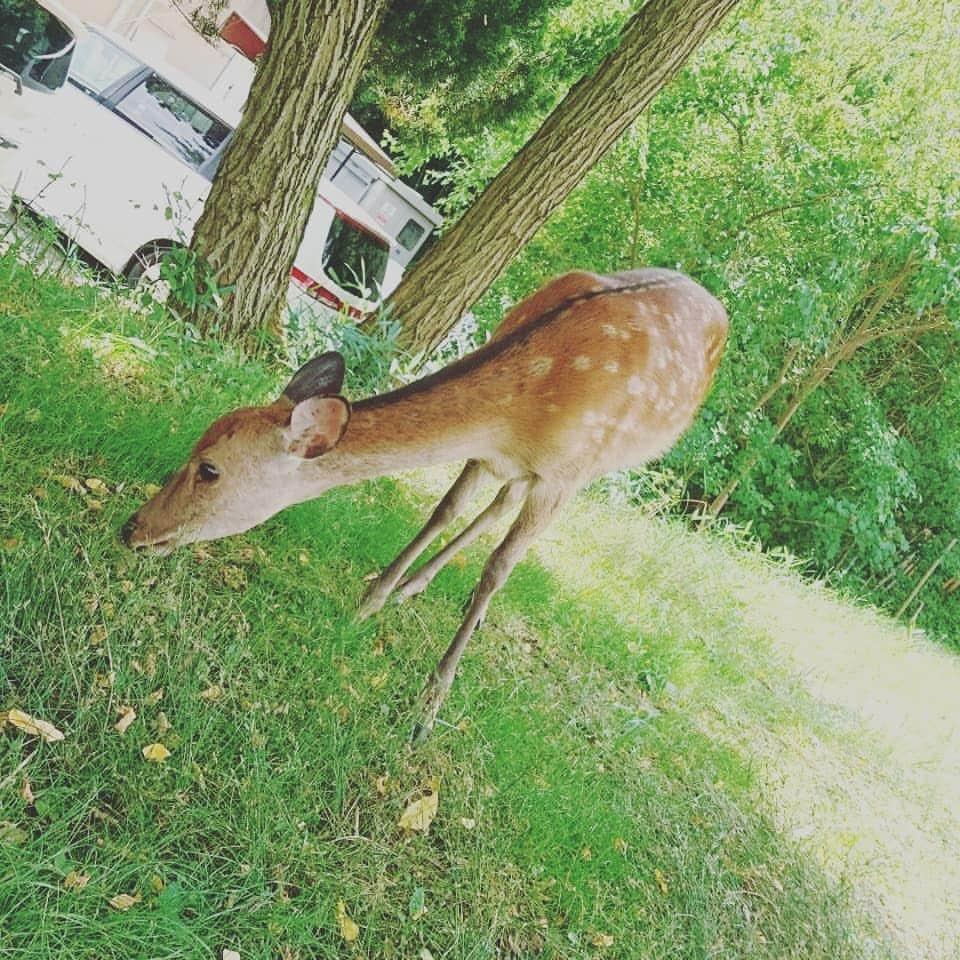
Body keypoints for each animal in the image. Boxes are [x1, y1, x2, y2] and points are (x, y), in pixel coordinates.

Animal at [125, 270, 728, 744]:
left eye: (209, 469)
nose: (132, 528)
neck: (530, 404)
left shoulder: (566, 473)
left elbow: (499, 567)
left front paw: (428, 708)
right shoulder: (488, 453)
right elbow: (443, 510)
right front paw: (369, 602)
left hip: (601, 466)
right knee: (497, 503)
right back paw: (416, 586)